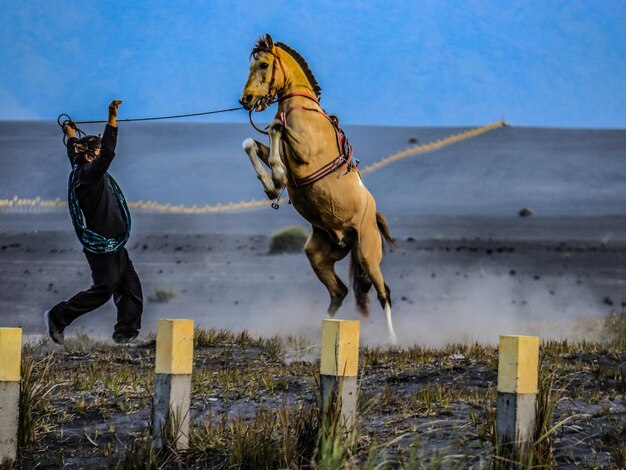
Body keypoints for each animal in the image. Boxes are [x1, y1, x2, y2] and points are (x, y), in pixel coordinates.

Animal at [239, 32, 394, 342]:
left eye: (263, 65)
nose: (246, 99)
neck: (302, 110)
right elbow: (252, 143)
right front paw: (272, 185)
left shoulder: (303, 151)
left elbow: (275, 128)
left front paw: (277, 175)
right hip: (319, 254)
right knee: (340, 292)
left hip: (368, 254)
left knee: (384, 293)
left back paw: (394, 341)